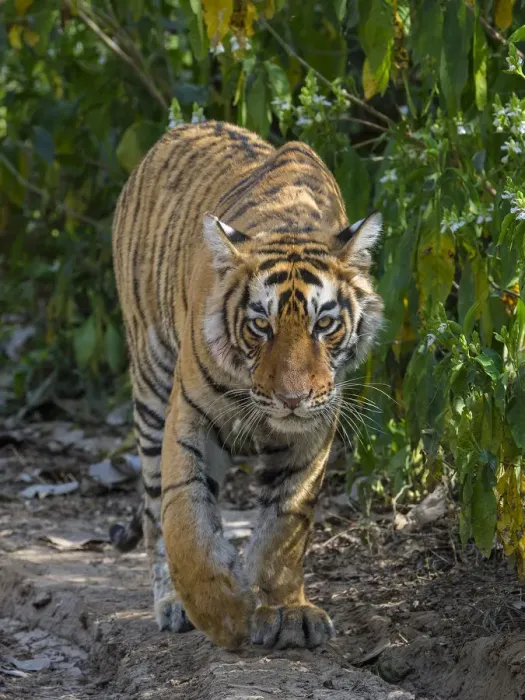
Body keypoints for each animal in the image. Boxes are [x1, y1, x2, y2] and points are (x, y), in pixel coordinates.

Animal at [110, 120, 383, 650]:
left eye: (324, 324)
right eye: (261, 325)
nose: (292, 399)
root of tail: (179, 130)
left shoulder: (313, 430)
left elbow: (284, 525)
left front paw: (288, 612)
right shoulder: (188, 415)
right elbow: (185, 518)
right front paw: (224, 615)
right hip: (151, 383)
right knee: (154, 510)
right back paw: (172, 603)